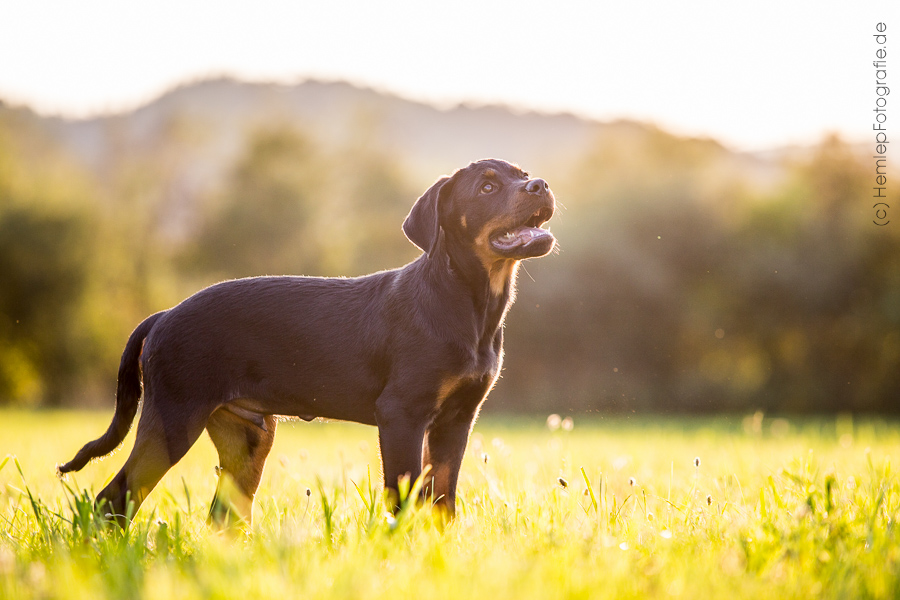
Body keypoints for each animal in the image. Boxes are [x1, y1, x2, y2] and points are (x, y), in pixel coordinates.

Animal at [58, 158, 556, 524]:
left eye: (523, 174)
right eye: (487, 187)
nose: (541, 185)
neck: (470, 303)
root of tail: (163, 316)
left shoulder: (456, 419)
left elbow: (443, 503)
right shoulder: (402, 414)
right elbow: (401, 500)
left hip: (247, 437)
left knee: (223, 515)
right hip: (173, 417)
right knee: (113, 498)